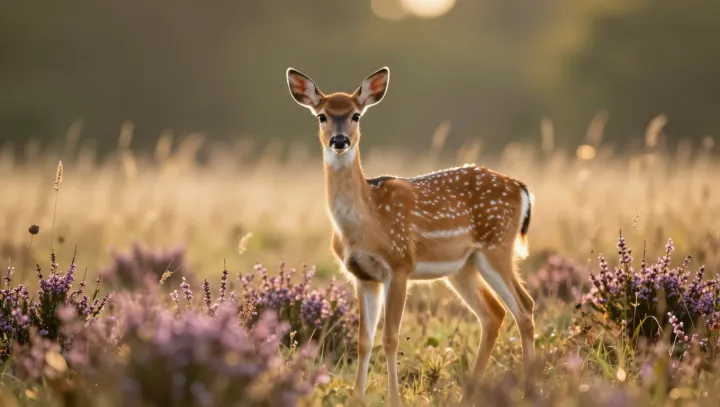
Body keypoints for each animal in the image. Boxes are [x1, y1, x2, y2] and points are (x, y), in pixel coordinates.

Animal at [285, 66, 536, 406]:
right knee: (494, 314)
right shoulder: (362, 275)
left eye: (356, 115)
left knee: (524, 306)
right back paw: (470, 395)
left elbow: (390, 338)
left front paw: (394, 398)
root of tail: (522, 189)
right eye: (322, 116)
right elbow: (364, 340)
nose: (339, 140)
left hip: (496, 246)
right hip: (463, 267)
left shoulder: (399, 263)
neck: (368, 221)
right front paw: (356, 398)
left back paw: (529, 390)